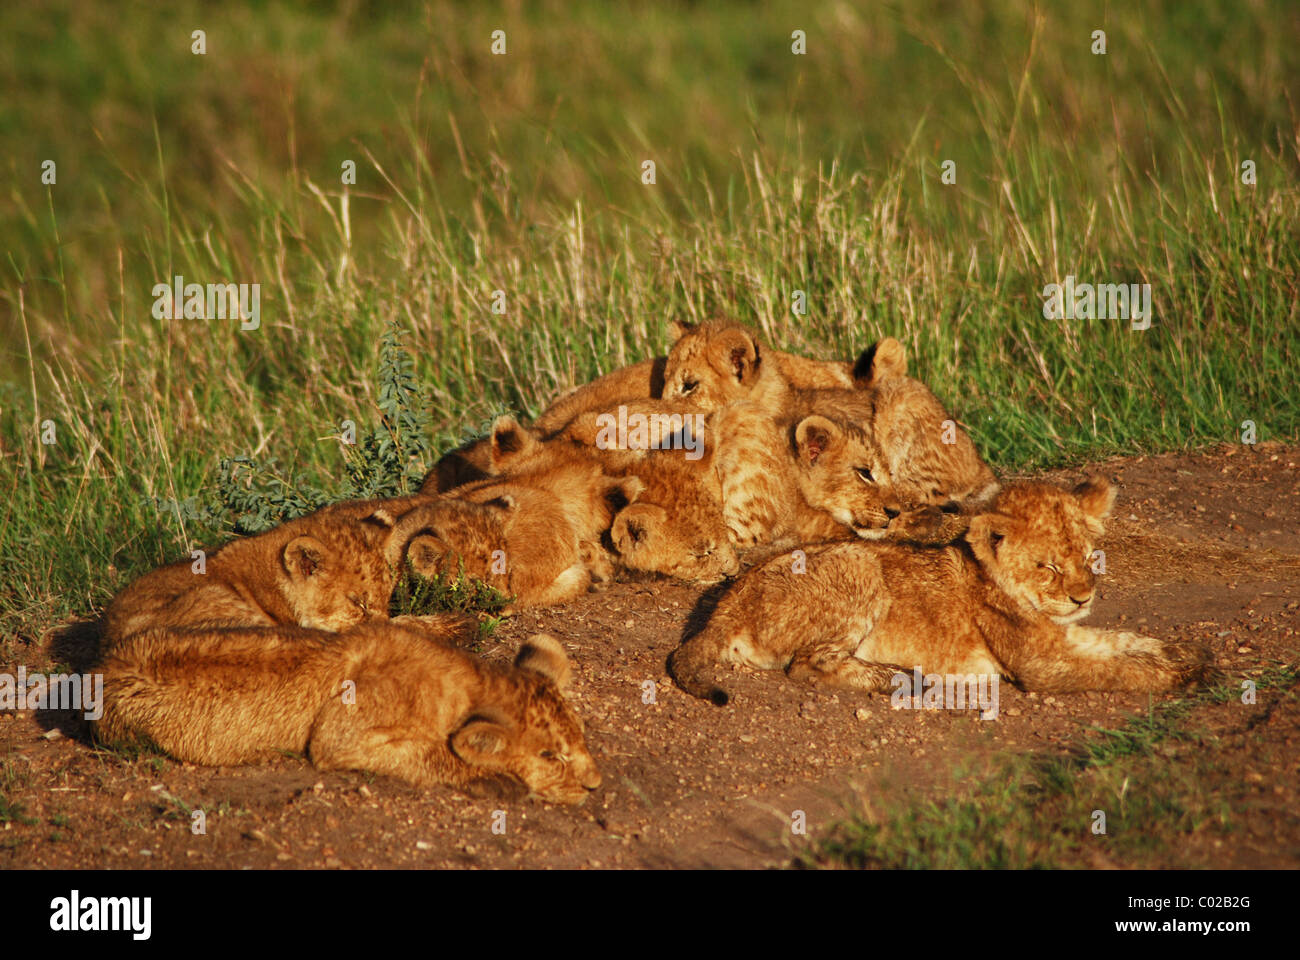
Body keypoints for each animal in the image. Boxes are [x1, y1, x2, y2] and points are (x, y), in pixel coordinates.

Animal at [94, 622, 602, 805]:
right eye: (550, 756)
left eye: (580, 738)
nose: (595, 785)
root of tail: (103, 666)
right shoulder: (338, 736)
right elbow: (431, 754)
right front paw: (499, 780)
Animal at [668, 478, 1213, 704]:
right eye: (1048, 567)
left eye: (1087, 557)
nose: (1083, 597)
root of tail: (727, 602)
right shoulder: (1040, 664)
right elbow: (1116, 669)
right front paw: (1181, 677)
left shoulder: (1063, 635)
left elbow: (1124, 642)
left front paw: (1189, 655)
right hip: (860, 563)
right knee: (807, 665)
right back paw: (893, 678)